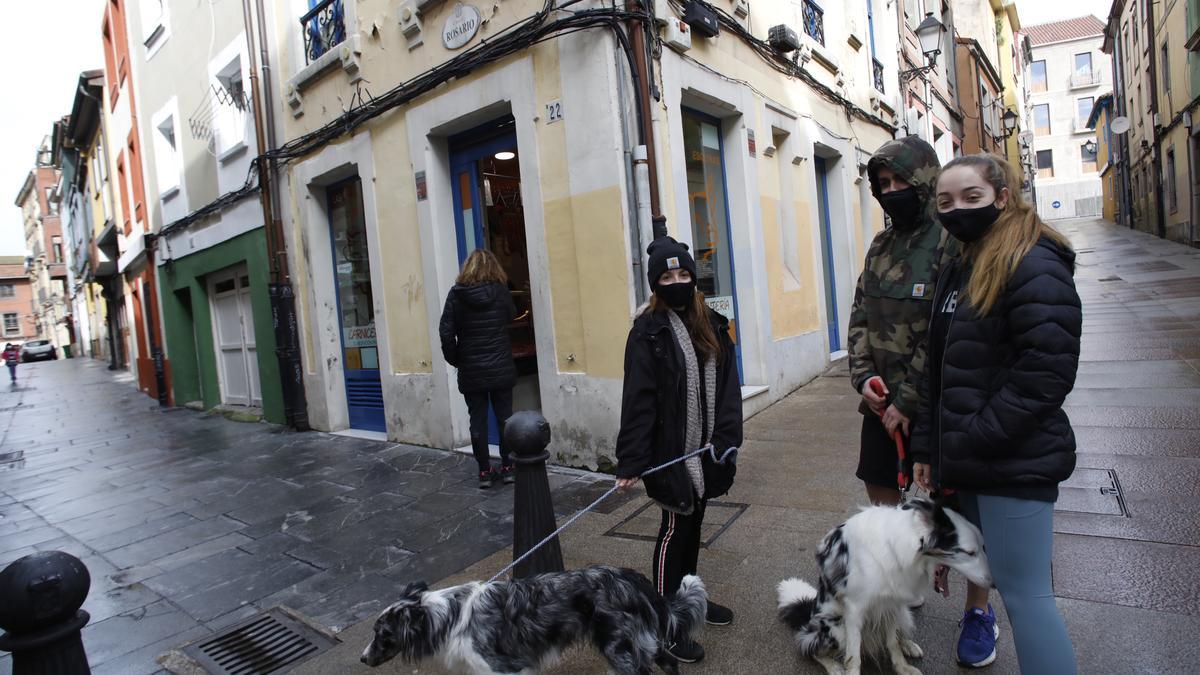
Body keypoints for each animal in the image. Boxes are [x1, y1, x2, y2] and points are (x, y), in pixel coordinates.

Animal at [360, 564, 705, 667]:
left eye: (382, 635)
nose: (362, 659)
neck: (449, 615)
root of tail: (630, 579)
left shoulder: (502, 667)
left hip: (618, 647)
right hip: (643, 641)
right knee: (669, 662)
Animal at [777, 494, 993, 672]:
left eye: (984, 547)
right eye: (970, 552)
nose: (994, 584)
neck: (896, 547)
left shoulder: (892, 603)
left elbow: (892, 642)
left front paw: (902, 668)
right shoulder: (854, 611)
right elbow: (853, 658)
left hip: (904, 614)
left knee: (898, 633)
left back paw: (909, 645)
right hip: (836, 627)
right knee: (810, 647)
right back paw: (834, 667)